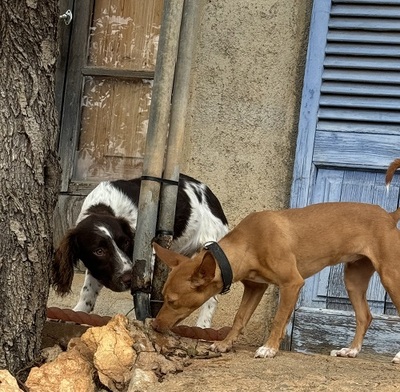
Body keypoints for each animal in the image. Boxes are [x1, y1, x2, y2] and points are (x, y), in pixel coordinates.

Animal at [51, 175, 228, 328]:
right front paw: (77, 314)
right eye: (99, 251)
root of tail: (212, 196)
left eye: (126, 242)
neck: (103, 207)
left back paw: (202, 326)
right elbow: (88, 291)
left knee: (211, 297)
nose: (128, 279)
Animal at [153, 160, 400, 362]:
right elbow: (239, 317)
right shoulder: (255, 287)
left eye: (172, 301)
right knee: (365, 316)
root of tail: (388, 216)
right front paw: (224, 344)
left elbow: (279, 319)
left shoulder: (292, 283)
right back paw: (351, 351)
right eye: (162, 297)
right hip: (353, 280)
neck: (249, 242)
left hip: (390, 277)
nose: (155, 325)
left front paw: (269, 348)